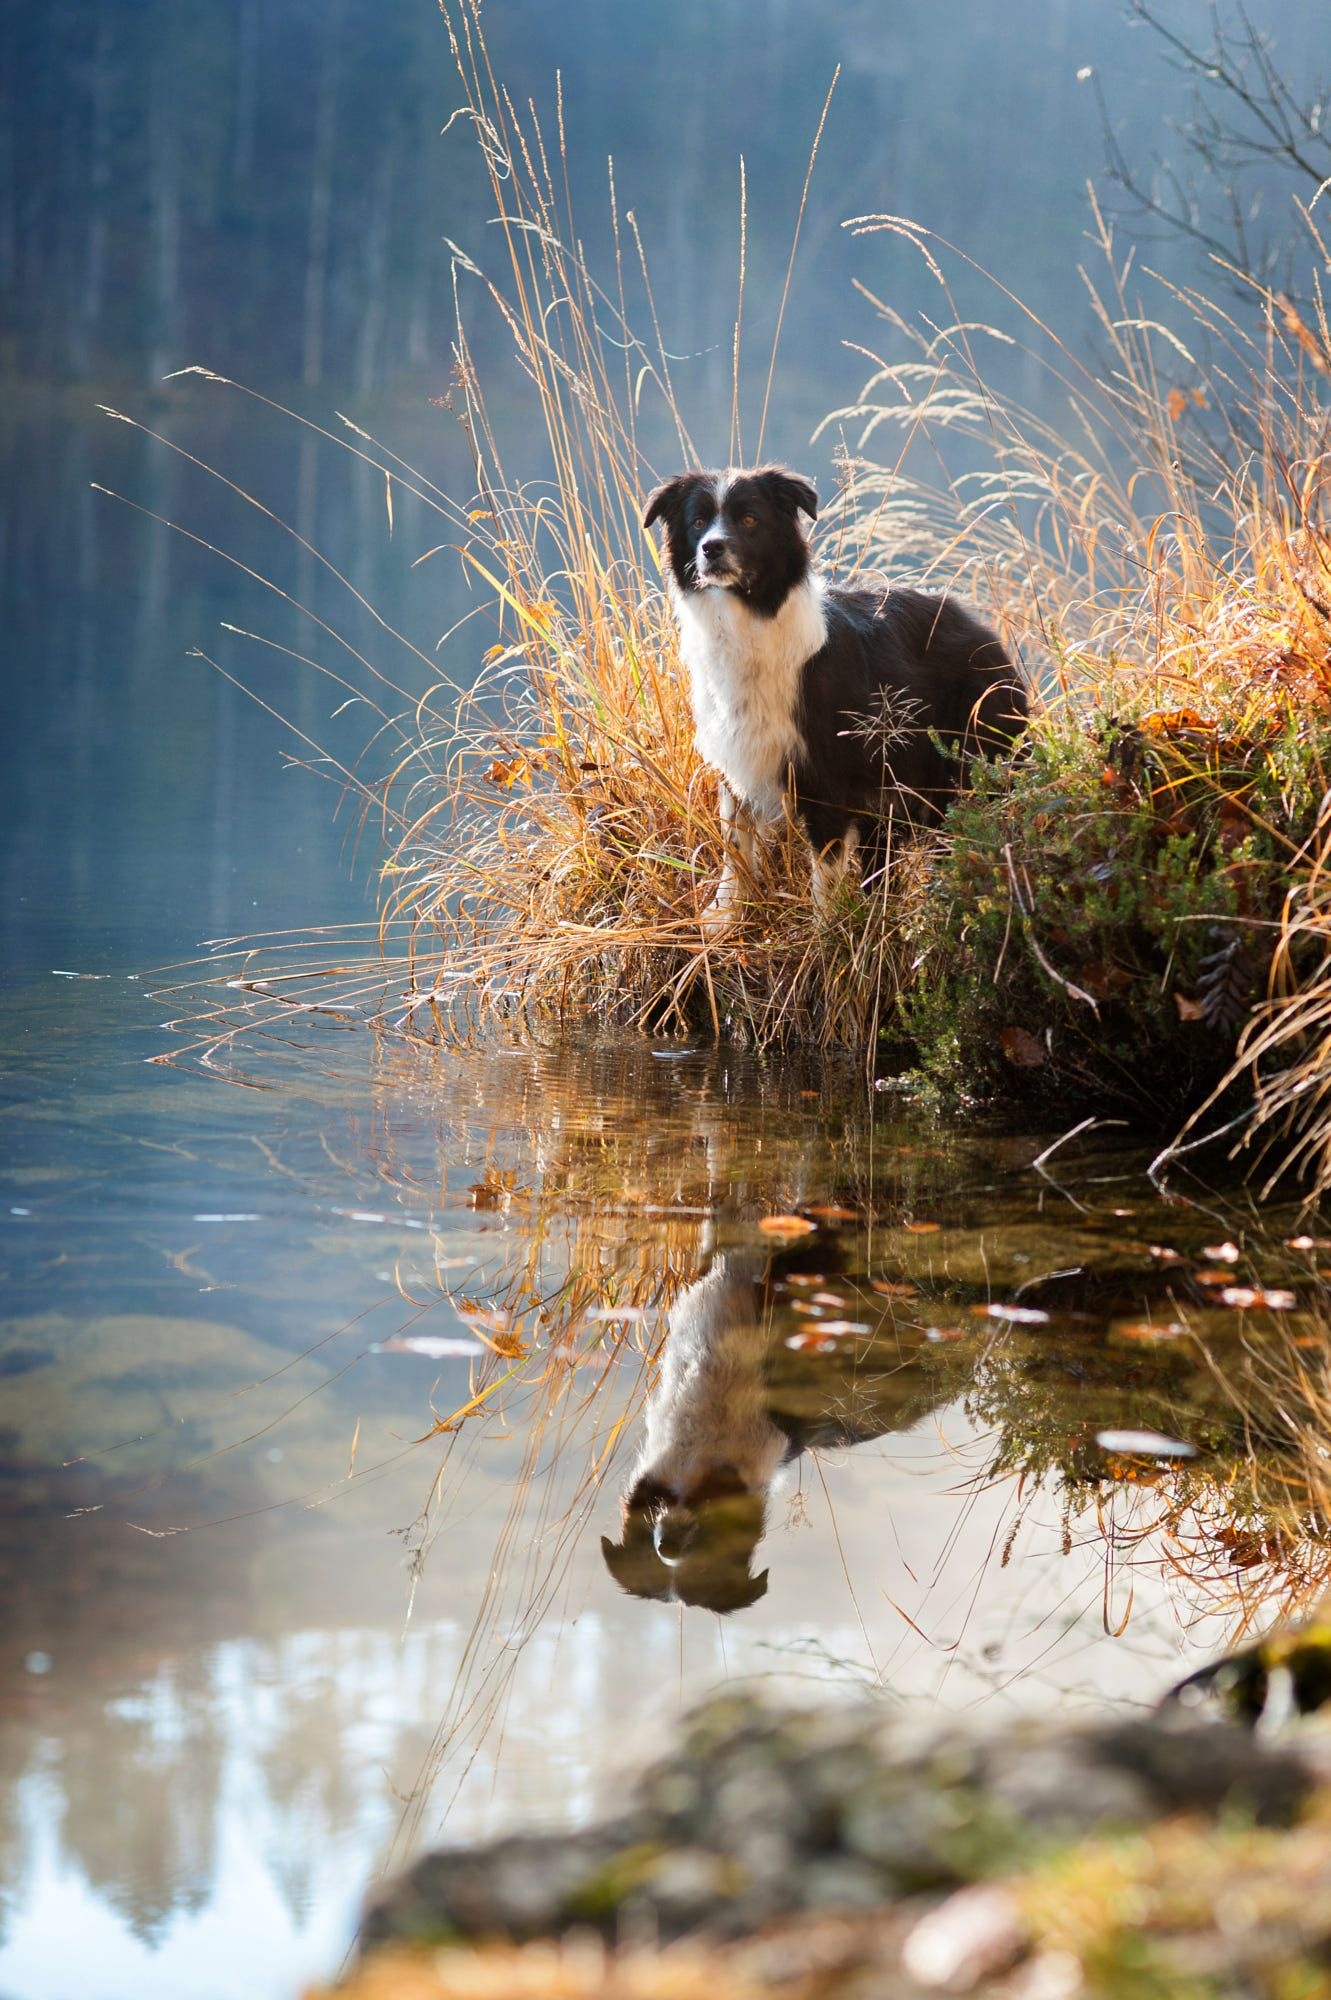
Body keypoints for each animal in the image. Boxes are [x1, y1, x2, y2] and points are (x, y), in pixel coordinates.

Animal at [643, 468, 1023, 928]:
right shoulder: (738, 760)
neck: (744, 619)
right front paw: (725, 917)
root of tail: (982, 629)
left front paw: (826, 932)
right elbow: (736, 848)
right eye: (698, 521)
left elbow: (823, 871)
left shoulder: (825, 774)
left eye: (749, 519)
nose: (711, 547)